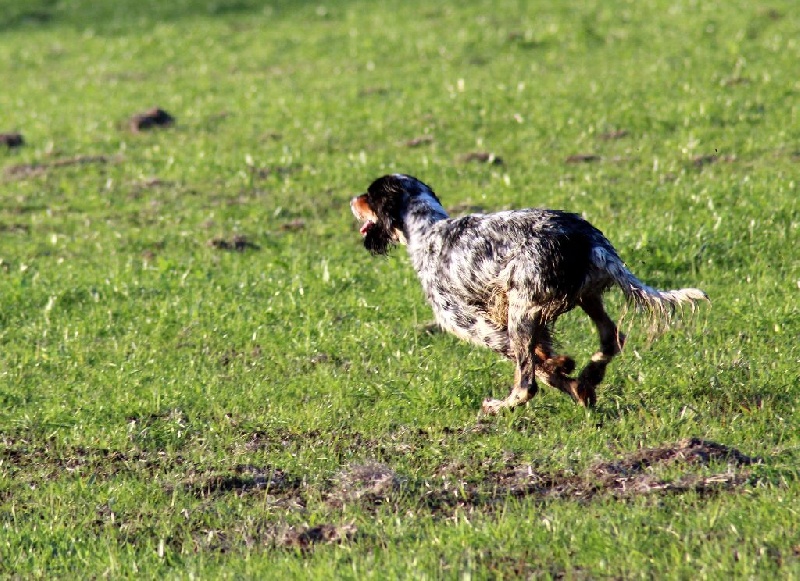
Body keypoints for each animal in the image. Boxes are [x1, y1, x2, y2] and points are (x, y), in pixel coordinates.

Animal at [350, 172, 708, 412]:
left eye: (368, 195)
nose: (352, 200)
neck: (429, 231)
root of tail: (589, 240)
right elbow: (547, 361)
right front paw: (576, 382)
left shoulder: (476, 326)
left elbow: (540, 369)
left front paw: (566, 376)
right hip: (586, 297)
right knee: (612, 338)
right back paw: (589, 375)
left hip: (520, 312)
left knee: (526, 385)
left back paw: (501, 405)